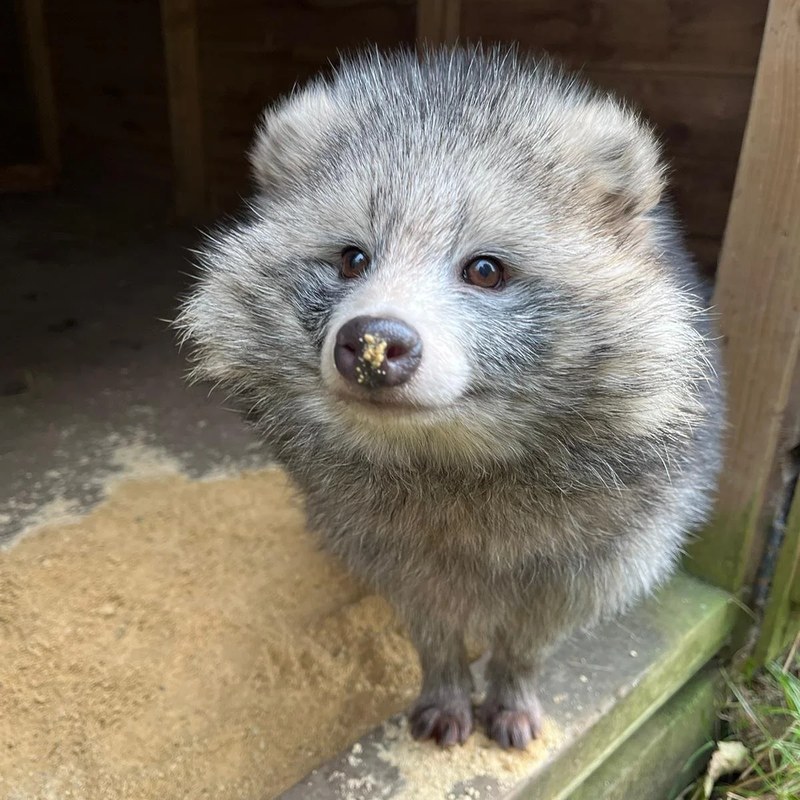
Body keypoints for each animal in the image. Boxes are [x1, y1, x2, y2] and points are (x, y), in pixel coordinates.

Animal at [176, 46, 724, 750]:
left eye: (485, 270)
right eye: (352, 259)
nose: (373, 341)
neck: (447, 457)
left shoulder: (609, 540)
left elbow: (535, 630)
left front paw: (514, 685)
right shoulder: (378, 532)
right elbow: (428, 618)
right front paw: (446, 680)